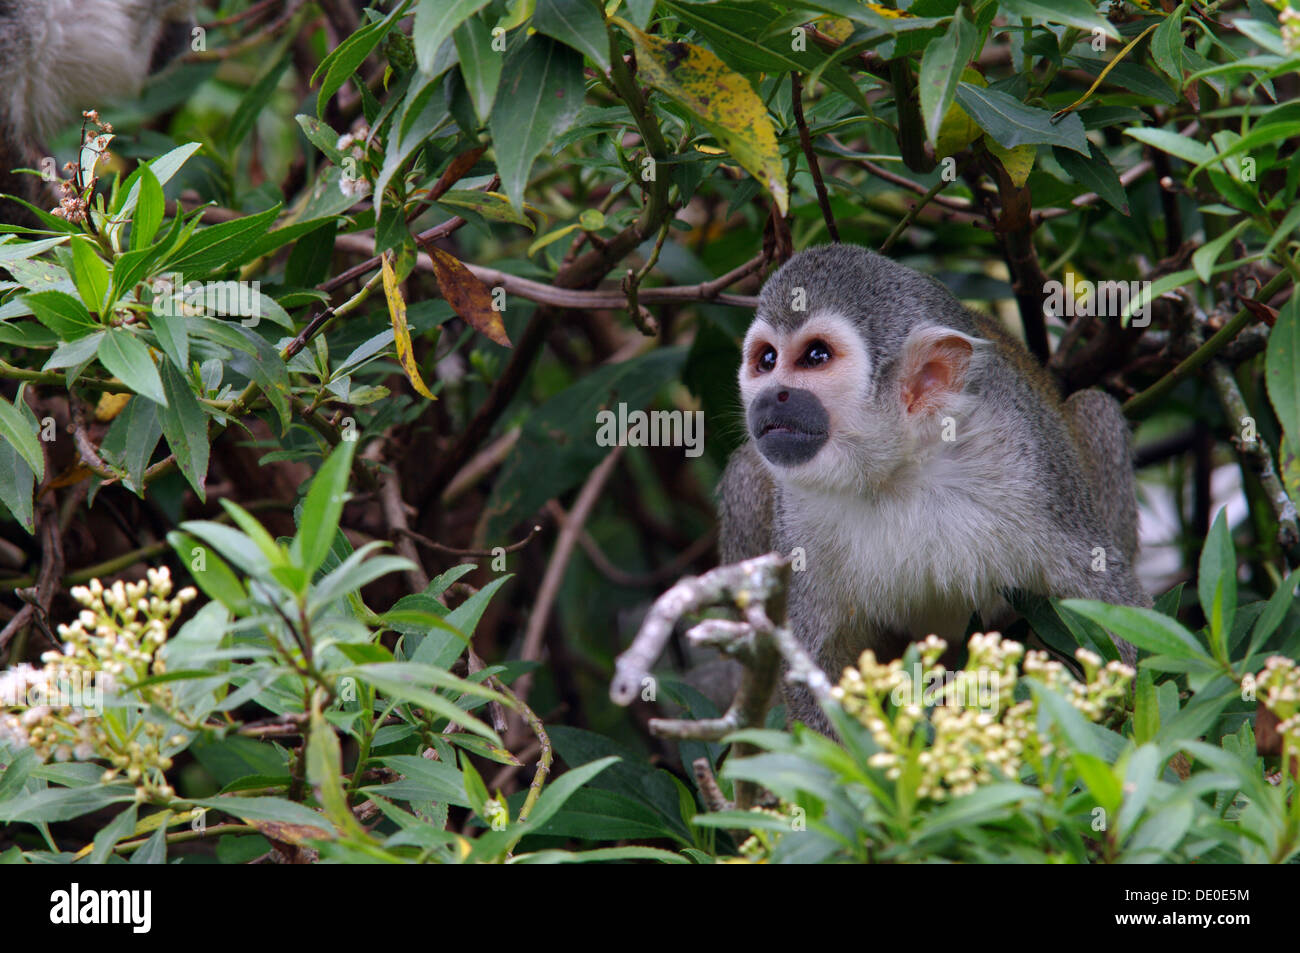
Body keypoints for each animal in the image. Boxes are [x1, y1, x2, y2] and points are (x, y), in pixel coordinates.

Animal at [722, 243, 1149, 728]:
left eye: (815, 356)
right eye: (767, 360)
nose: (771, 396)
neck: (897, 470)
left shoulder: (1027, 463)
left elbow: (1108, 604)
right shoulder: (796, 511)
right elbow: (814, 662)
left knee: (1096, 409)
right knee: (746, 471)